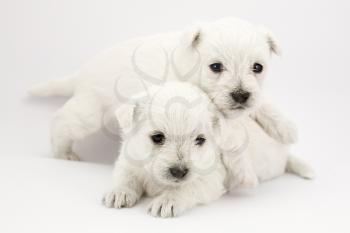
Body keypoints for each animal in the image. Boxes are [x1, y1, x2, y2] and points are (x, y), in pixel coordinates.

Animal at [30, 17, 298, 161]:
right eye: (215, 66)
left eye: (257, 67)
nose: (241, 95)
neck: (190, 67)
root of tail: (82, 74)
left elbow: (263, 103)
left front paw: (286, 129)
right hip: (89, 113)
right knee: (61, 121)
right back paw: (63, 153)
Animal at [103, 82, 314, 217]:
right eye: (157, 137)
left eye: (200, 140)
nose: (179, 172)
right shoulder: (129, 160)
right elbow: (126, 176)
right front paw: (119, 193)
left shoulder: (211, 178)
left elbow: (187, 187)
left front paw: (168, 201)